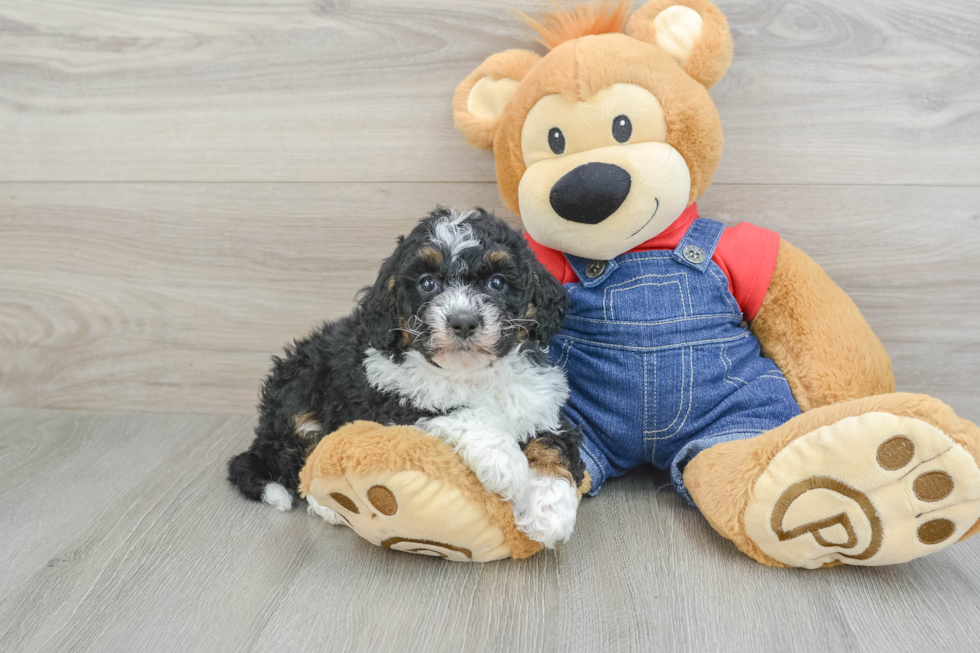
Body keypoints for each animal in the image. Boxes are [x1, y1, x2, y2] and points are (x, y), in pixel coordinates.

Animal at [226, 208, 584, 544]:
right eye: (427, 283)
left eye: (497, 282)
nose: (463, 321)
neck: (469, 373)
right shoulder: (392, 401)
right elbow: (461, 410)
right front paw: (505, 462)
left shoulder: (540, 403)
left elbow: (554, 445)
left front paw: (549, 511)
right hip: (297, 397)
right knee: (299, 462)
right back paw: (327, 507)